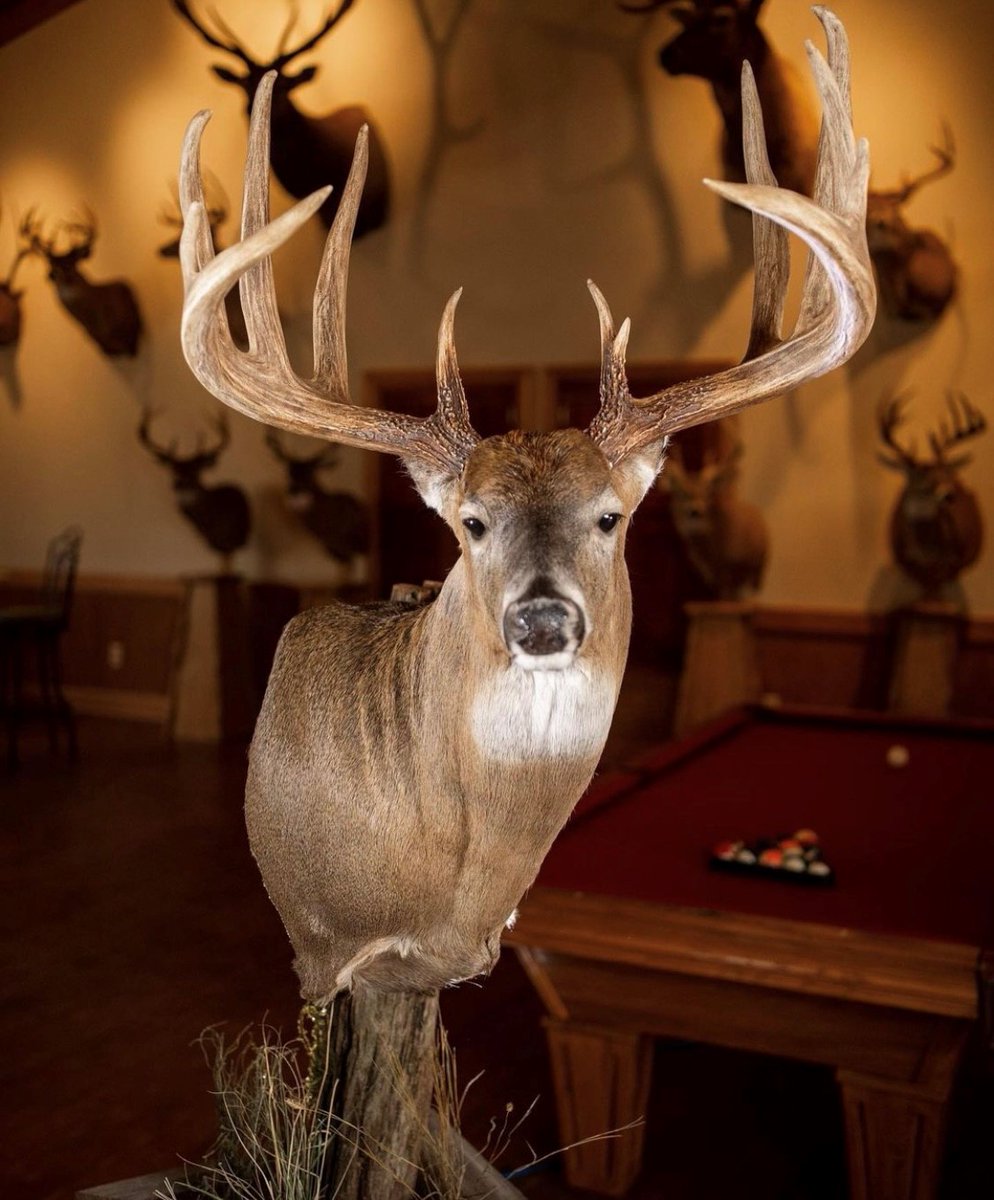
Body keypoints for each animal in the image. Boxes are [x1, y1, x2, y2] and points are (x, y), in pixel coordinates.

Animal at [662, 430, 767, 598]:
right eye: (680, 493)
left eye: (708, 493)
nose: (695, 511)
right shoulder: (714, 575)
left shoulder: (733, 569)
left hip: (758, 569)